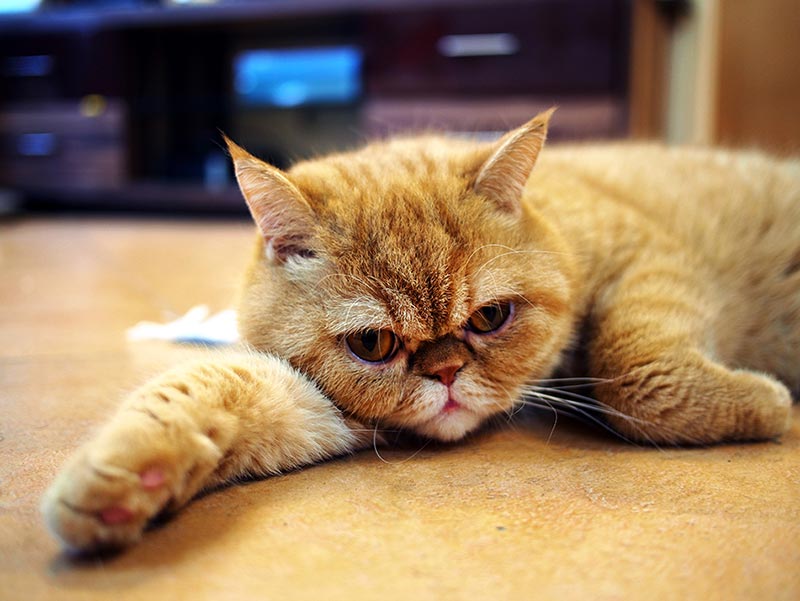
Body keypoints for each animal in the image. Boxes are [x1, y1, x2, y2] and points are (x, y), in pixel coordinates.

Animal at [42, 110, 800, 552]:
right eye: (374, 344)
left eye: (489, 317)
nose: (445, 373)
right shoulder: (313, 400)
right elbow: (201, 389)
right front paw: (120, 477)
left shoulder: (651, 259)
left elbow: (634, 375)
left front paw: (765, 403)